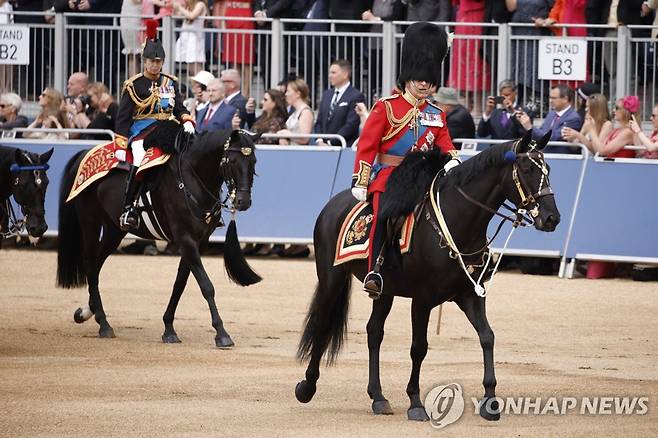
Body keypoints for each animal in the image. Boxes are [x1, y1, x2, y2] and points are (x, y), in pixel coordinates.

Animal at [56, 123, 260, 350]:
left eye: (253, 161)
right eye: (232, 161)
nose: (243, 201)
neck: (192, 178)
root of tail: (85, 152)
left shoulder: (198, 242)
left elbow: (180, 284)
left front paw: (169, 328)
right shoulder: (185, 239)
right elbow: (206, 286)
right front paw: (222, 333)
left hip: (114, 230)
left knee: (96, 265)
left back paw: (88, 311)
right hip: (90, 221)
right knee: (91, 264)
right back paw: (103, 323)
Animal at [298, 133, 560, 420]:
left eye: (548, 169)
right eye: (527, 169)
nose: (552, 218)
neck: (459, 222)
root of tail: (333, 204)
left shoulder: (469, 295)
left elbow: (487, 337)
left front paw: (490, 400)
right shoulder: (422, 300)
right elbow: (419, 347)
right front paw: (415, 402)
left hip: (384, 290)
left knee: (374, 332)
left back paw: (378, 397)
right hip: (331, 278)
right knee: (323, 323)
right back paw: (307, 386)